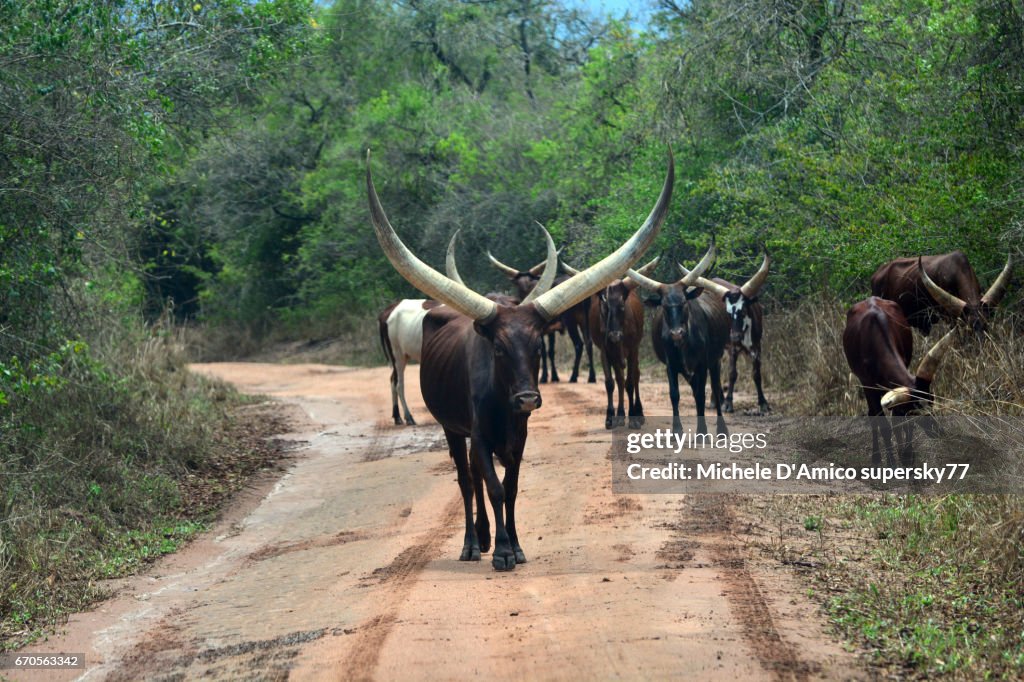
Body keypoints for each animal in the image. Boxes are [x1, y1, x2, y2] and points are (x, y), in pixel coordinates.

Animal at [366, 150, 671, 569]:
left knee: (474, 475)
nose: (527, 399)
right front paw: (502, 551)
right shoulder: (478, 434)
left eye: (538, 346)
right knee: (466, 479)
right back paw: (472, 543)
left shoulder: (518, 436)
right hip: (450, 426)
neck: (501, 401)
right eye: (498, 349)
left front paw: (516, 545)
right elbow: (492, 487)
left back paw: (483, 535)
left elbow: (509, 488)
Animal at [626, 246, 724, 432]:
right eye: (664, 305)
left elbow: (702, 395)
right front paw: (676, 430)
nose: (676, 333)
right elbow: (674, 395)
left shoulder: (702, 364)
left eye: (684, 302)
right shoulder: (671, 365)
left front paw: (702, 431)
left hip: (715, 360)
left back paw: (722, 429)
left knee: (715, 387)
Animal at [843, 294, 954, 464]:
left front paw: (907, 455)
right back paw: (876, 457)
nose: (938, 431)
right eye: (915, 411)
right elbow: (884, 426)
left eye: (932, 401)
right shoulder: (868, 386)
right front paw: (892, 462)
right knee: (872, 414)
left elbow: (900, 422)